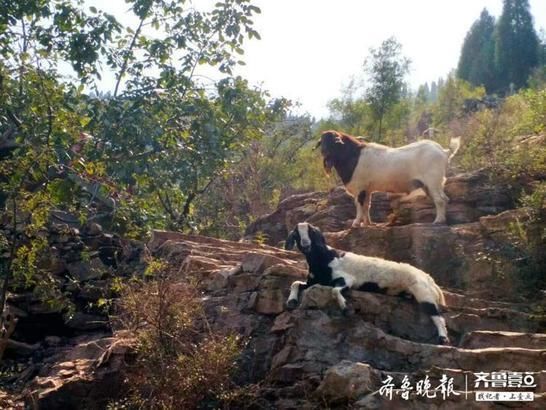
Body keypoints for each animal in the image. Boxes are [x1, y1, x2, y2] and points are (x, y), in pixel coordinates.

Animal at [284, 223, 446, 344]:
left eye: (311, 231)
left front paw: (346, 309)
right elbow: (295, 283)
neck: (325, 259)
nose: (306, 245)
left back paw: (443, 338)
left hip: (423, 292)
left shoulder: (346, 279)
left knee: (437, 315)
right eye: (296, 234)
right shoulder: (313, 281)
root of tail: (429, 279)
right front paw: (291, 302)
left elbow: (335, 291)